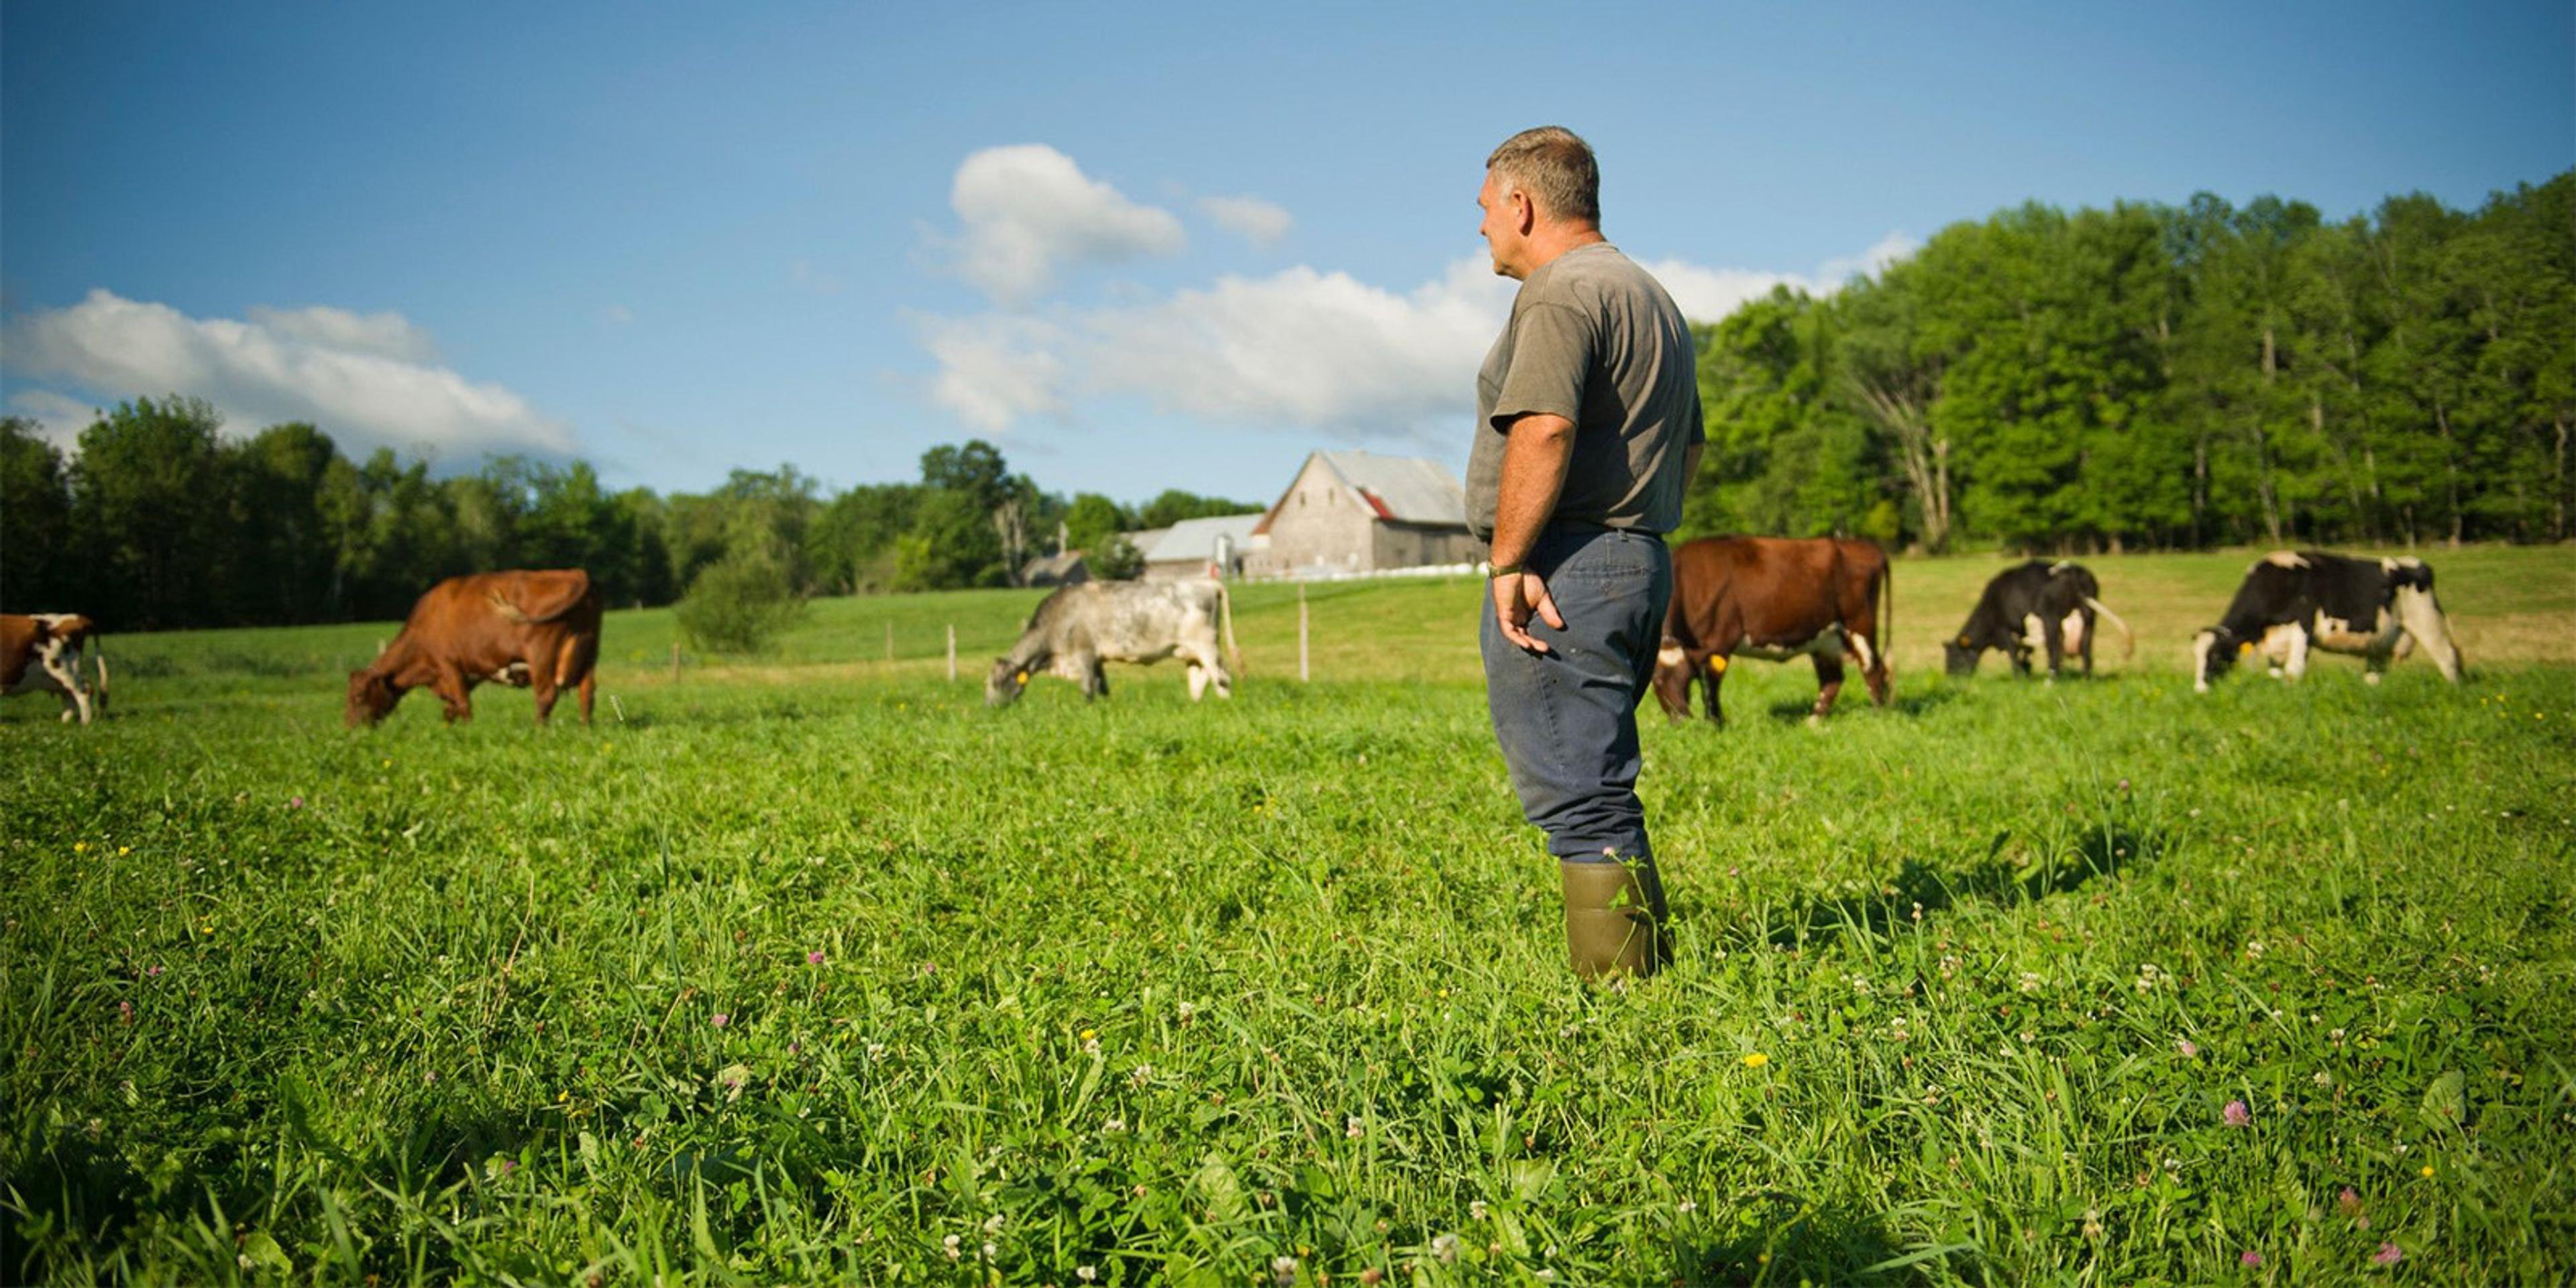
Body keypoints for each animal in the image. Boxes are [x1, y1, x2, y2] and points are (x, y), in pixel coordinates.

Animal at [345, 572, 600, 726]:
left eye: (358, 695)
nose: (351, 729)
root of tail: (575, 573)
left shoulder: (448, 664)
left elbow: (463, 704)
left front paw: (467, 732)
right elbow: (451, 709)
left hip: (541, 656)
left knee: (546, 695)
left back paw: (539, 730)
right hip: (587, 655)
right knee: (586, 694)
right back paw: (585, 728)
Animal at [983, 582, 1246, 710]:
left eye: (997, 682)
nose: (990, 709)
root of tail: (1208, 584)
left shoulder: (1084, 654)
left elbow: (1088, 689)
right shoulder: (1097, 660)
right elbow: (1103, 688)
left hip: (1206, 646)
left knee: (1222, 677)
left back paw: (1225, 705)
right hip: (1191, 653)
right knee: (1200, 681)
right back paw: (1195, 706)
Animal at [1648, 535, 1896, 726]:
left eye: (1683, 679)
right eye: (1656, 683)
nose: (1681, 720)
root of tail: (1864, 546)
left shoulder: (1720, 641)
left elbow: (1711, 684)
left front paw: (1715, 722)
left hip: (1860, 625)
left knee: (1873, 669)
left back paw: (1878, 715)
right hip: (1825, 639)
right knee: (1833, 679)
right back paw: (1812, 722)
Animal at [1947, 566, 2133, 685]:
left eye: (1954, 656)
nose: (1950, 678)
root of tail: (2072, 570)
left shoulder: (2004, 629)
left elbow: (2014, 653)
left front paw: (2019, 678)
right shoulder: (2021, 630)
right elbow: (2026, 653)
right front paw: (2026, 673)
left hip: (2051, 619)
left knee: (2055, 652)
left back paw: (2050, 682)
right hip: (2088, 617)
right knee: (2087, 652)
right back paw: (2085, 681)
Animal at [2184, 553, 2463, 695]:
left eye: (2216, 656)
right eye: (2196, 656)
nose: (2200, 689)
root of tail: (2416, 563)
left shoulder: (2302, 628)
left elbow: (2293, 671)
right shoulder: (2274, 639)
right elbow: (2276, 673)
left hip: (2427, 620)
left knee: (2448, 657)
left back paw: (2454, 692)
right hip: (2379, 641)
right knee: (2375, 675)